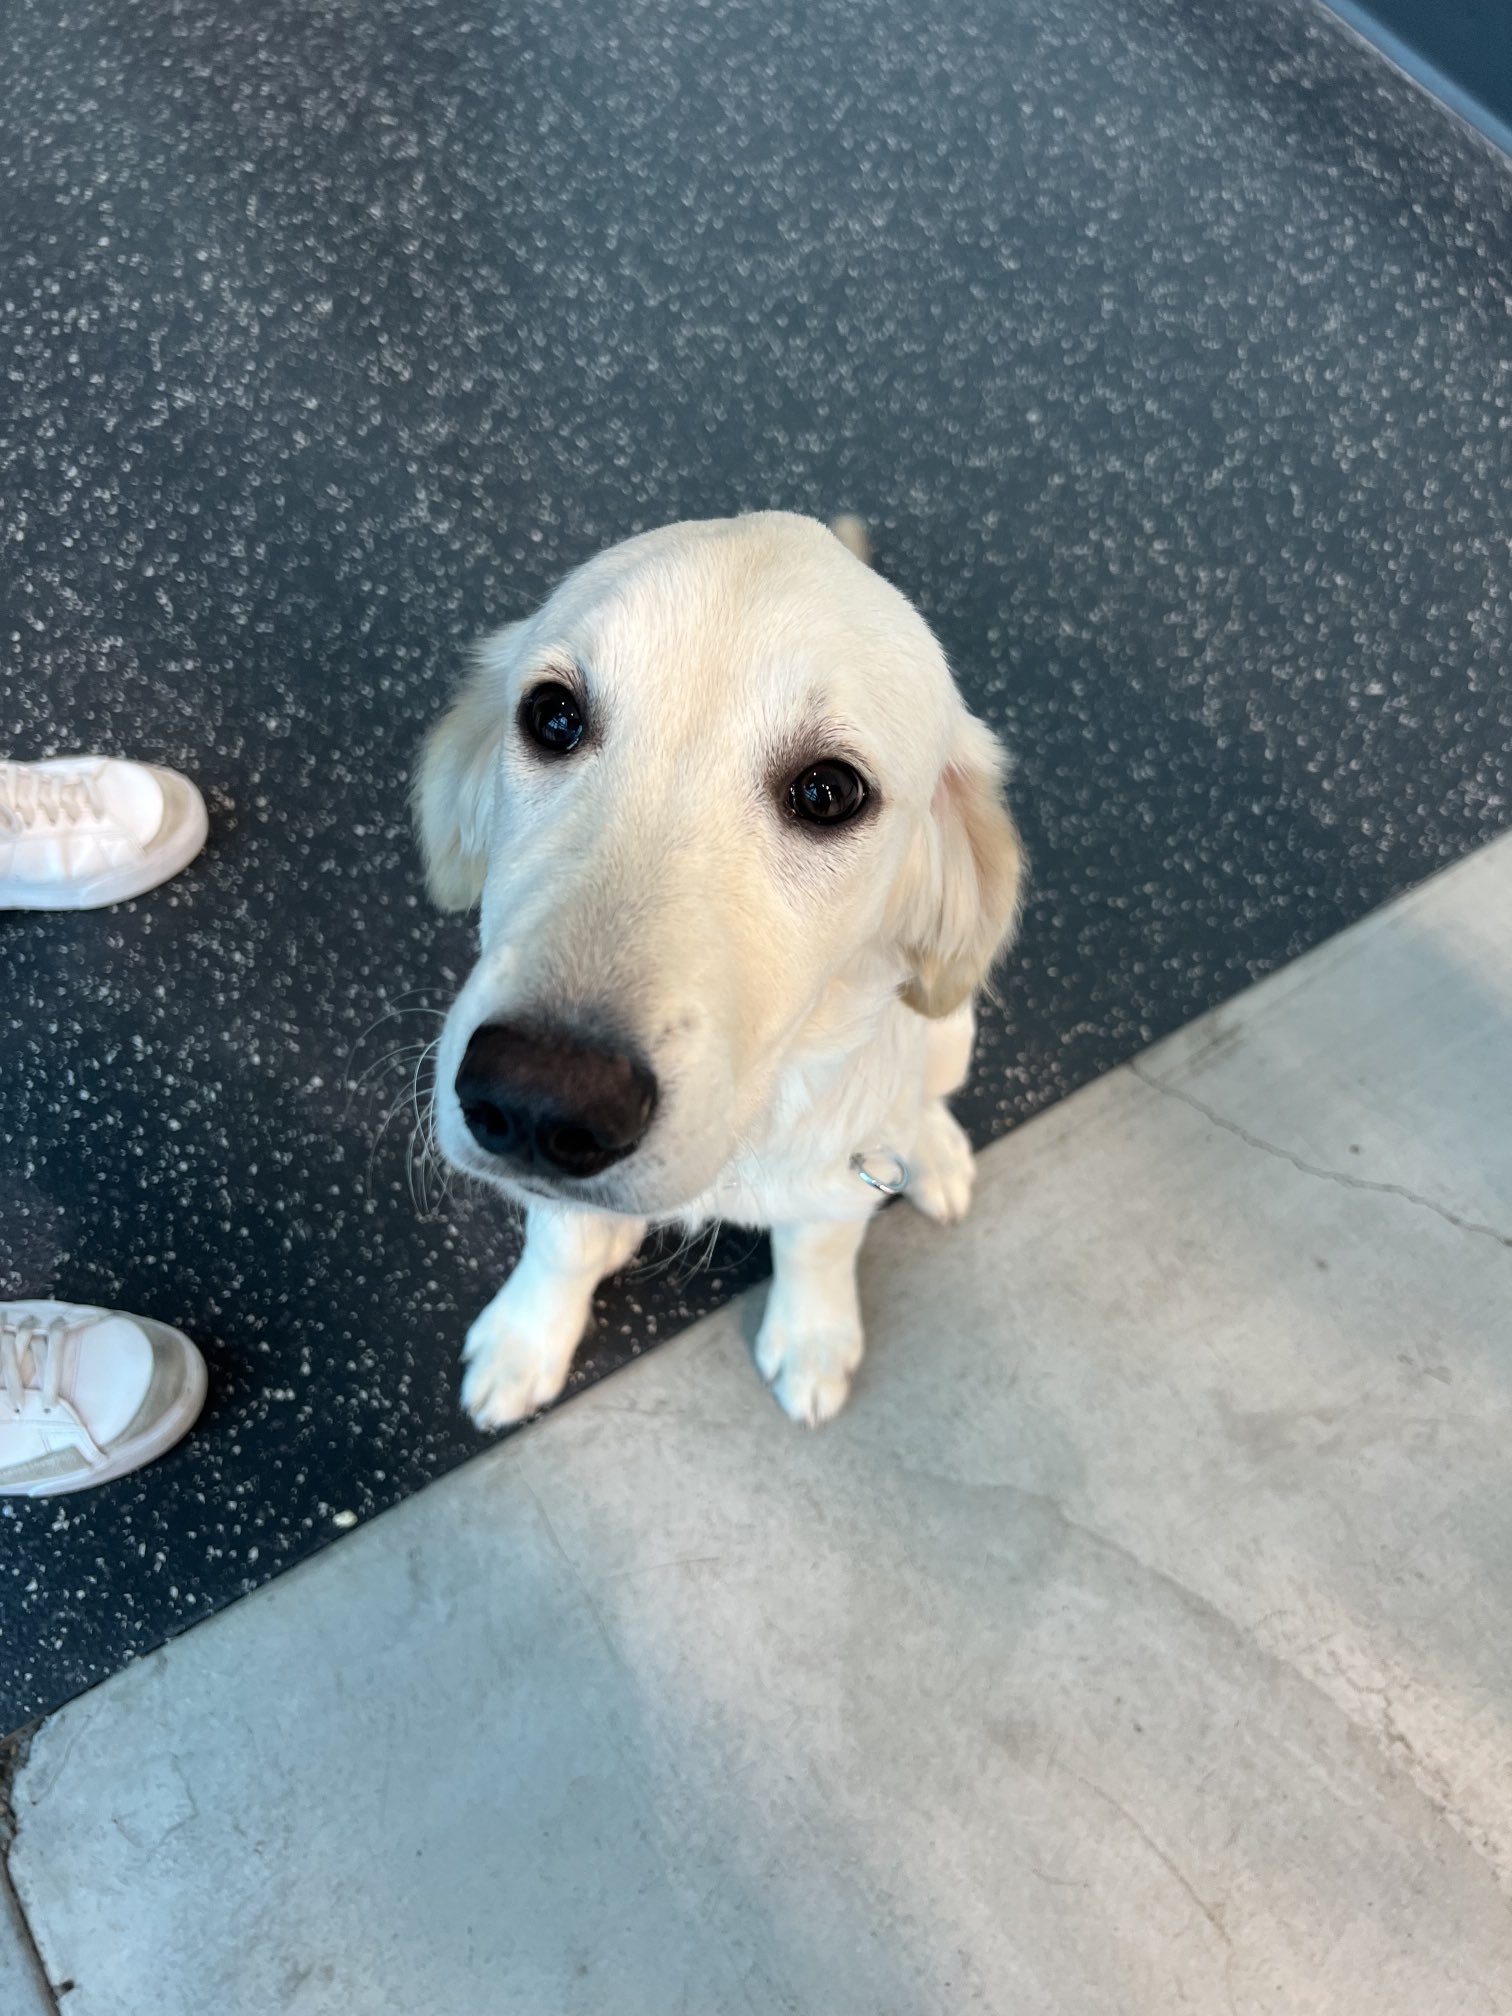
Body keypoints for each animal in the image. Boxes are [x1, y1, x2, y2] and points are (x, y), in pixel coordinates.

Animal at [421, 520, 1024, 1435]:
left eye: (828, 791)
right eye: (553, 717)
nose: (537, 1099)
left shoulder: (839, 1175)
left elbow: (821, 1242)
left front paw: (813, 1336)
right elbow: (559, 1241)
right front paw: (528, 1339)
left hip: (949, 1029)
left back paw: (936, 1151)